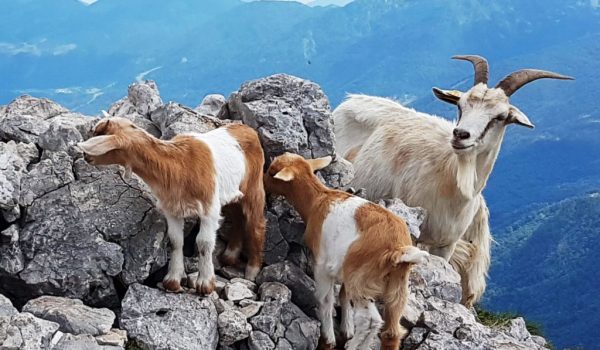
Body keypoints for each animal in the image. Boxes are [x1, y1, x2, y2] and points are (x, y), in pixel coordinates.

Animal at [332, 55, 572, 306]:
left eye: (500, 117)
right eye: (460, 106)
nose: (461, 135)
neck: (451, 180)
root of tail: (352, 99)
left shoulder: (446, 244)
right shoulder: (414, 237)